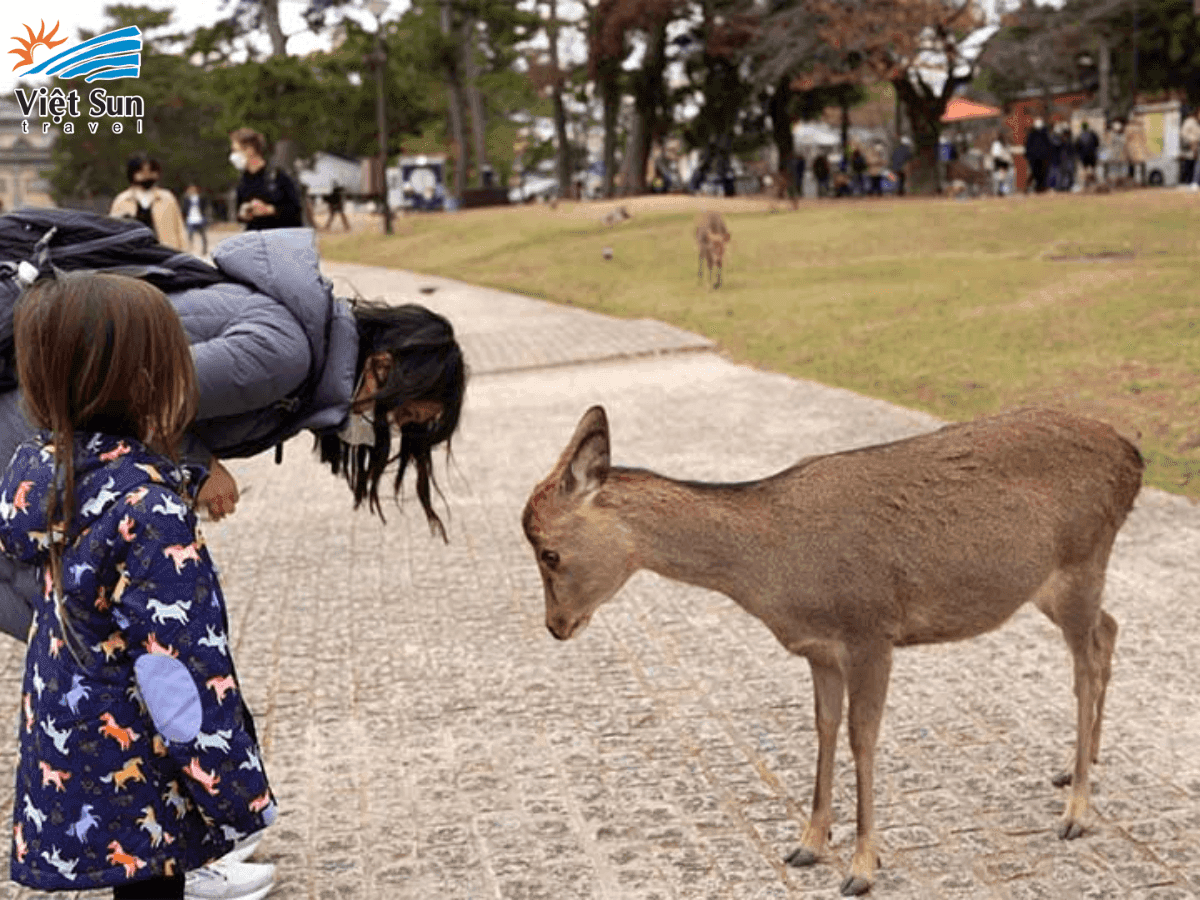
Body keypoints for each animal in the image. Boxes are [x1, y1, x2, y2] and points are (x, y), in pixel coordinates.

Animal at [522, 406, 1143, 896]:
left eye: (549, 552)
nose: (556, 626)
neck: (777, 571)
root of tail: (1134, 456)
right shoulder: (819, 650)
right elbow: (823, 728)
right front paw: (808, 843)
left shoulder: (870, 631)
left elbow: (861, 738)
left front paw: (862, 867)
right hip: (1047, 585)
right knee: (1110, 631)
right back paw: (1080, 764)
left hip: (1081, 562)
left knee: (1085, 664)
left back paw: (1077, 810)